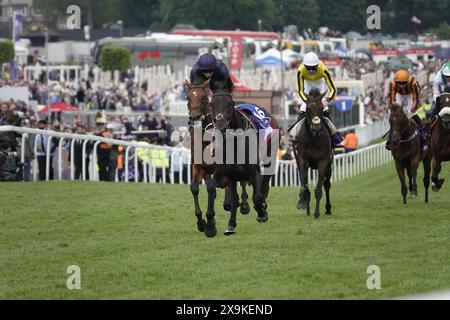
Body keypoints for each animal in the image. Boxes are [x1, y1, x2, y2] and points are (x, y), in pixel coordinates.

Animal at [185, 80, 251, 235]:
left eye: (204, 99)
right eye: (188, 98)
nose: (195, 117)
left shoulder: (219, 166)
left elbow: (212, 189)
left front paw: (210, 225)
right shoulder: (198, 166)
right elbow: (195, 188)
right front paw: (201, 222)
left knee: (241, 182)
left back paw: (243, 205)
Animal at [205, 85, 278, 238]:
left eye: (230, 104)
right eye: (211, 104)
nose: (220, 127)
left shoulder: (254, 170)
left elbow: (257, 196)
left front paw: (261, 212)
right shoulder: (226, 174)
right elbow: (218, 191)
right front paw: (213, 226)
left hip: (269, 156)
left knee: (265, 182)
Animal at [294, 89, 332, 219]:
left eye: (321, 108)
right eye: (308, 108)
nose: (316, 126)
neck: (314, 139)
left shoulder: (323, 161)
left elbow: (319, 189)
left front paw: (316, 213)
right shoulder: (303, 159)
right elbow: (304, 182)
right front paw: (303, 201)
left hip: (329, 166)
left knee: (327, 185)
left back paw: (328, 208)